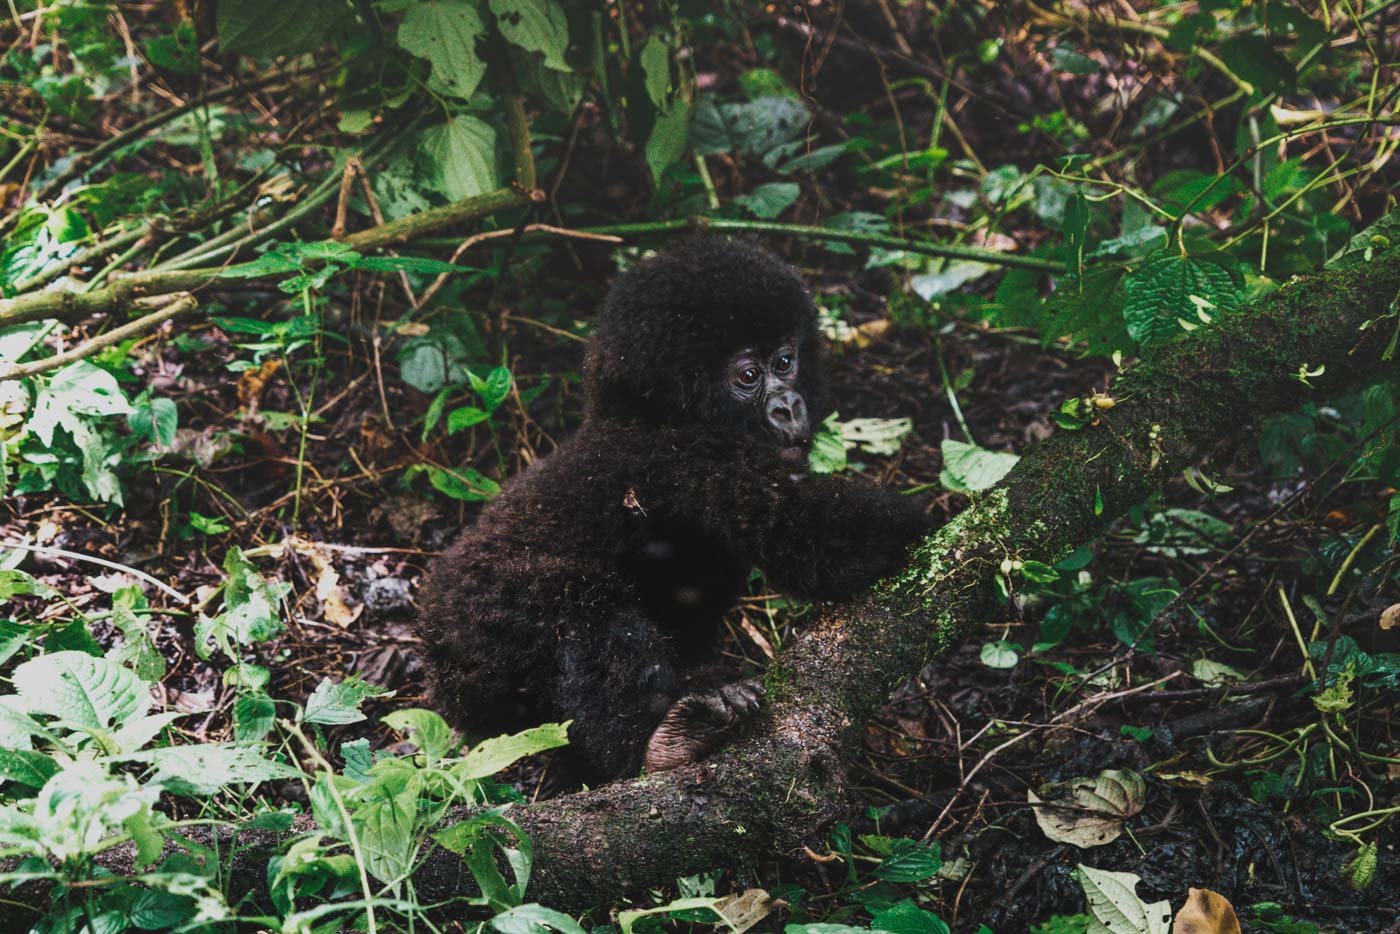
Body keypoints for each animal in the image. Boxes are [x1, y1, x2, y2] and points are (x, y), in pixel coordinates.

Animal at [420, 239, 935, 784]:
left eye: (786, 360)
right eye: (749, 376)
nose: (789, 407)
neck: (651, 413)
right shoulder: (687, 456)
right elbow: (803, 532)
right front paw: (933, 524)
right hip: (472, 627)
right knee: (582, 603)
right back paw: (660, 743)